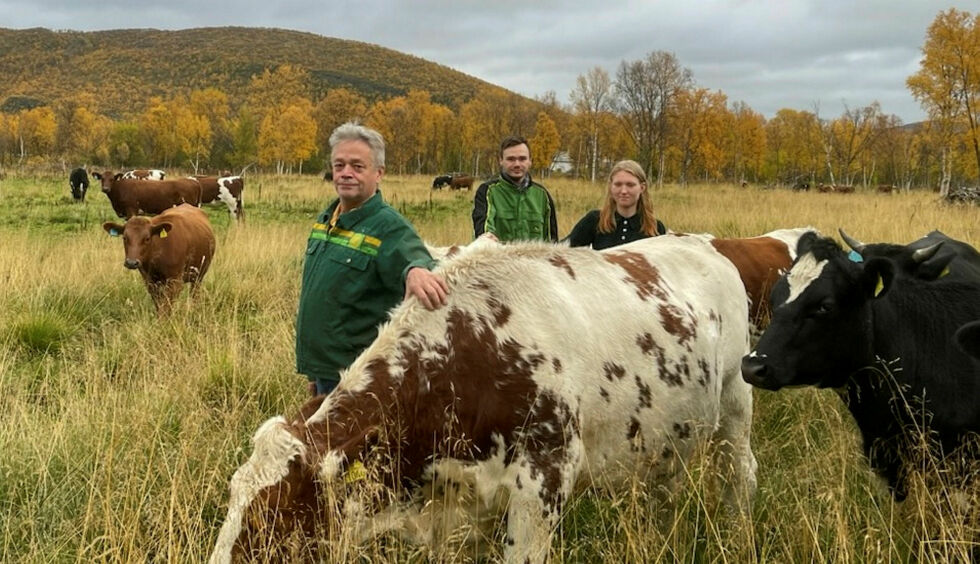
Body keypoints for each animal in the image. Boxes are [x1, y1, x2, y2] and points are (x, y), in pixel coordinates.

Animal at [209, 236, 756, 564]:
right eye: (232, 500)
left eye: (272, 515)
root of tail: (701, 243)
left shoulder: (543, 481)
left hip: (735, 400)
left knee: (740, 470)